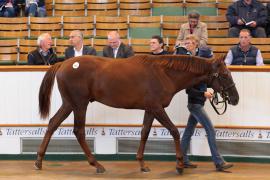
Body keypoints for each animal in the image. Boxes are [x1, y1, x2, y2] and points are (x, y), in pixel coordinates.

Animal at [34, 54, 239, 174]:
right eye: (225, 75)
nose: (235, 99)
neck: (163, 73)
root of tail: (63, 63)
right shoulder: (157, 108)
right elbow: (174, 131)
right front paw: (180, 164)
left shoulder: (150, 109)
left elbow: (144, 133)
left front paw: (142, 163)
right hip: (79, 105)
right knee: (78, 131)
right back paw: (97, 165)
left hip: (69, 104)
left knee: (52, 123)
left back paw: (39, 161)